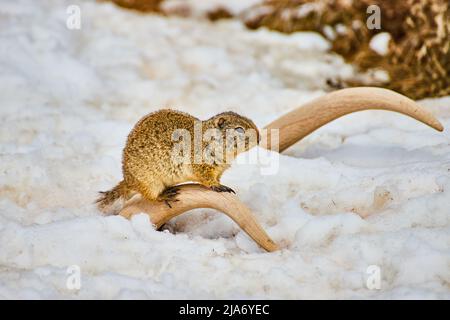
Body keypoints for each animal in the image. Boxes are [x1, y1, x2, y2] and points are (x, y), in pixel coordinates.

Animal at [98, 108, 260, 212]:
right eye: (239, 129)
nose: (259, 138)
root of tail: (128, 180)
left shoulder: (219, 170)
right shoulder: (201, 163)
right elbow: (206, 178)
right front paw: (218, 186)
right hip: (150, 182)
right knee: (151, 196)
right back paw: (164, 195)